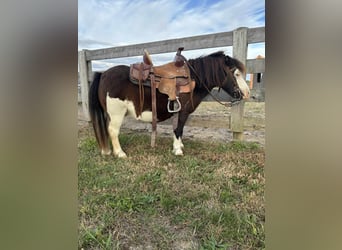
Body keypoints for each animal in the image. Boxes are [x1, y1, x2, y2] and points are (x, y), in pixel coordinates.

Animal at [88, 50, 248, 158]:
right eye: (237, 74)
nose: (246, 93)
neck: (193, 79)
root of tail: (103, 74)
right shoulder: (182, 112)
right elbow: (179, 129)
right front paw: (178, 149)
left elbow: (178, 129)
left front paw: (179, 145)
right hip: (117, 114)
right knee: (113, 131)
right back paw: (120, 153)